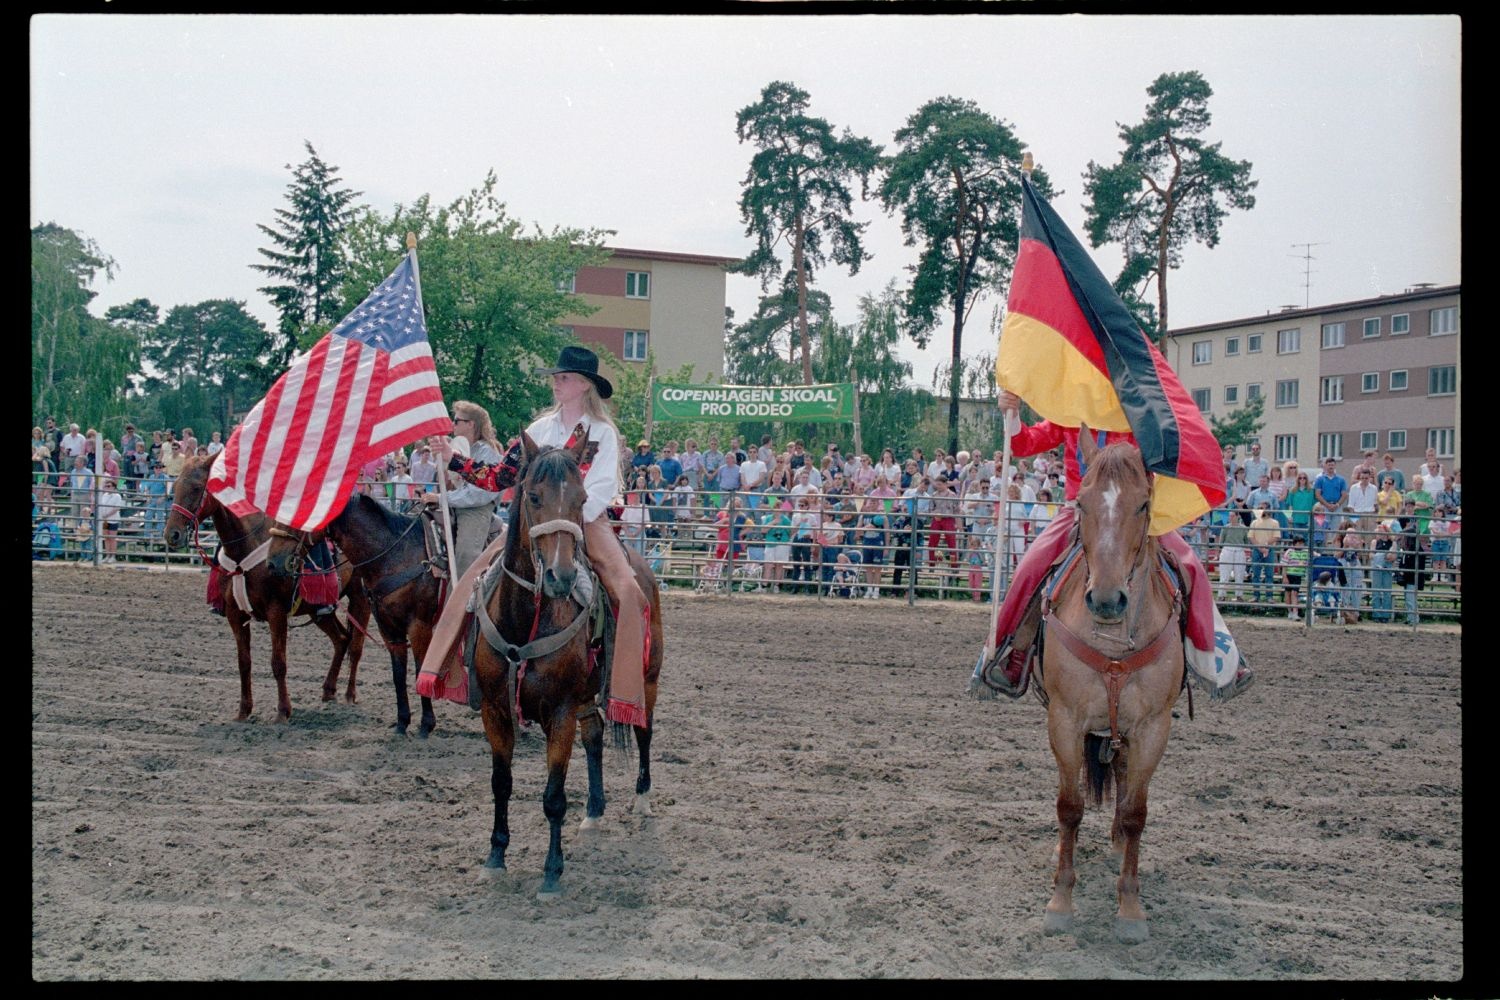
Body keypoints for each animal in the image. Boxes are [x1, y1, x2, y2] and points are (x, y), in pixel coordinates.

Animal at [165, 458, 370, 722]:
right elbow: (244, 662)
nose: (172, 534)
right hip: (319, 610)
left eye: (197, 488)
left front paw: (283, 711)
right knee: (342, 639)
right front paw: (243, 711)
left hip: (360, 599)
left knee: (355, 647)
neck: (245, 545)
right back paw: (328, 690)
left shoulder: (276, 612)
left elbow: (278, 663)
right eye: (176, 486)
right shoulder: (235, 614)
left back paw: (349, 694)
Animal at [474, 434, 663, 905]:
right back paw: (594, 812)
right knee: (594, 734)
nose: (559, 576)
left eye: (581, 499)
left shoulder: (558, 713)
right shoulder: (494, 710)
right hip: (585, 697)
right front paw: (495, 858)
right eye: (533, 496)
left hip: (646, 681)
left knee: (644, 733)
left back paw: (642, 799)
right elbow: (500, 783)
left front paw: (551, 873)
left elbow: (554, 797)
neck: (524, 622)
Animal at [1044, 431, 1182, 947]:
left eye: (1144, 504)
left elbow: (1136, 812)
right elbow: (1070, 807)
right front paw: (1060, 902)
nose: (1106, 600)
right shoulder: (1064, 720)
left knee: (1123, 786)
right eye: (1081, 503)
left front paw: (1131, 909)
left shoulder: (1153, 728)